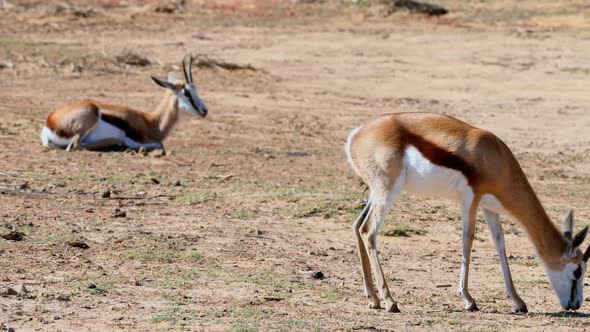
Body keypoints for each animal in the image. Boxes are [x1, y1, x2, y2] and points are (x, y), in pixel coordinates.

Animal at [40, 54, 207, 152]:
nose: (204, 110)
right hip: (91, 114)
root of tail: (51, 122)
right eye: (187, 93)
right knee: (74, 146)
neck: (151, 122)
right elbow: (160, 144)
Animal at [346, 113, 590, 312]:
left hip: (376, 194)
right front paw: (469, 299)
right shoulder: (471, 200)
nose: (576, 304)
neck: (495, 158)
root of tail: (355, 134)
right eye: (578, 271)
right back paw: (390, 301)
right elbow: (468, 239)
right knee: (368, 231)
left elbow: (500, 244)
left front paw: (518, 302)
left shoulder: (489, 208)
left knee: (357, 226)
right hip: (387, 191)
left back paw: (373, 299)